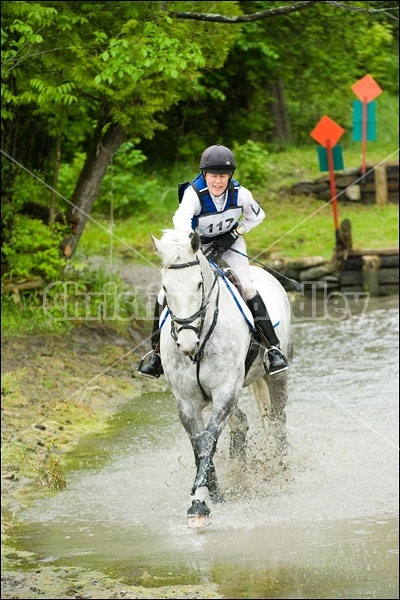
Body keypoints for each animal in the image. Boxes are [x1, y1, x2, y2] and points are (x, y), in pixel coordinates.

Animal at [152, 227, 292, 528]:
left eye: (198, 285)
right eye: (166, 289)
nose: (187, 343)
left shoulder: (226, 391)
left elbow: (208, 442)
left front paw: (199, 505)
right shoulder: (187, 402)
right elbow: (199, 443)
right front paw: (211, 493)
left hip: (277, 378)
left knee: (277, 419)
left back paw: (282, 470)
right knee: (241, 422)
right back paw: (240, 470)